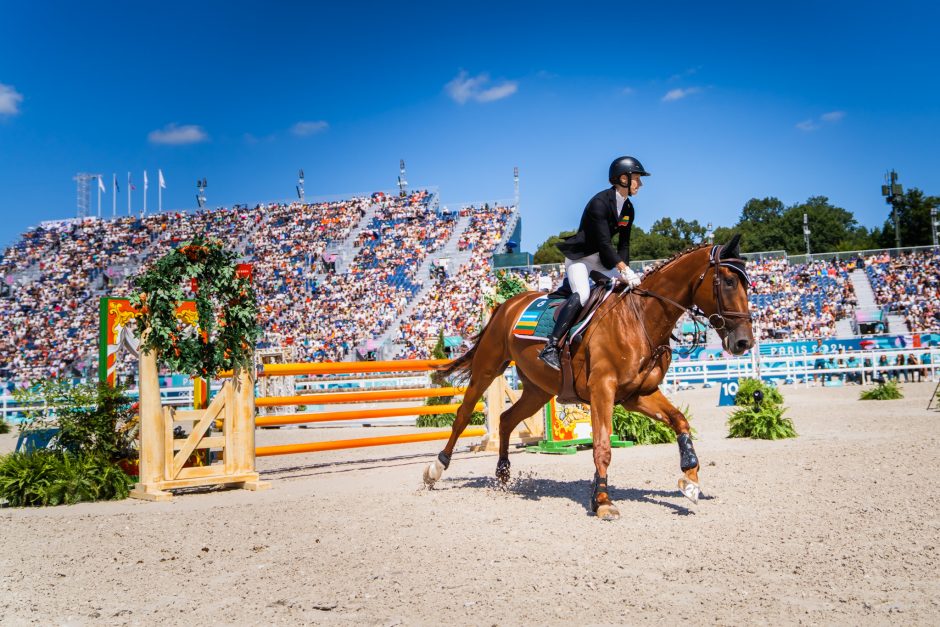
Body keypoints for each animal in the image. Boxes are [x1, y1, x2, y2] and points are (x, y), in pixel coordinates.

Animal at [422, 236, 752, 520]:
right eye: (729, 281)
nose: (743, 342)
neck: (642, 318)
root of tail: (507, 303)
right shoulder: (602, 390)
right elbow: (603, 446)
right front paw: (603, 501)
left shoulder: (638, 395)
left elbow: (680, 421)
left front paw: (691, 479)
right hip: (488, 367)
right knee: (464, 415)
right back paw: (435, 469)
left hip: (538, 390)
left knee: (506, 419)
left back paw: (503, 474)